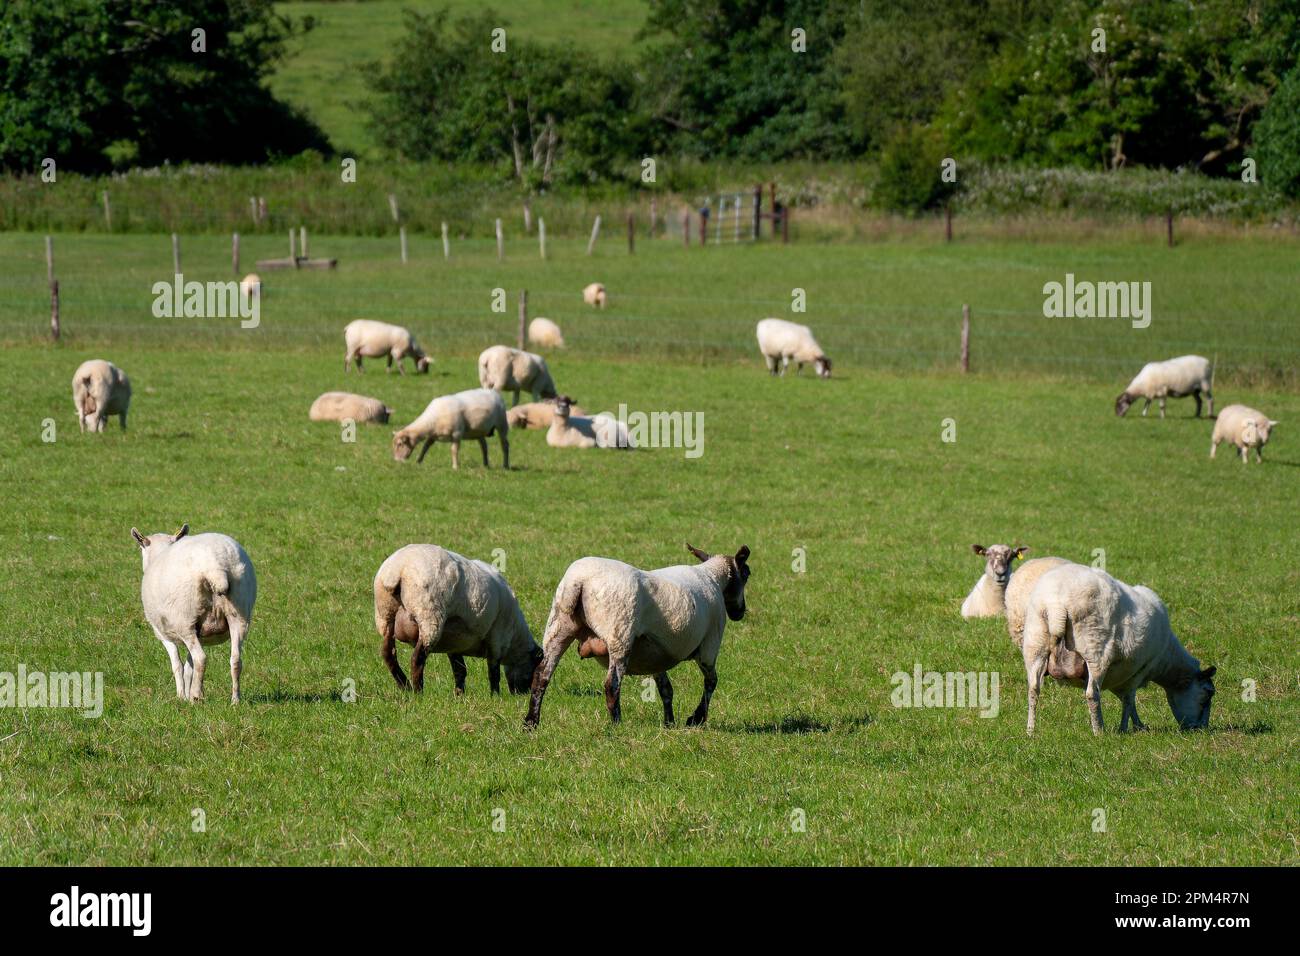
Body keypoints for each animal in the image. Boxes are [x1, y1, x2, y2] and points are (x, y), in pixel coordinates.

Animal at [130, 524, 256, 704]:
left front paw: (182, 696)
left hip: (185, 621)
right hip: (239, 614)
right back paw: (235, 700)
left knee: (201, 658)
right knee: (236, 660)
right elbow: (189, 667)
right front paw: (190, 693)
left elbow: (177, 665)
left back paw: (196, 697)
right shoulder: (200, 634)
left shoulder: (163, 634)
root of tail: (214, 565)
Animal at [374, 544, 542, 696]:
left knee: (388, 654)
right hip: (429, 616)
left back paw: (405, 687)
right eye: (534, 670)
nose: (522, 694)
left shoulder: (454, 642)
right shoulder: (496, 638)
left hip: (385, 615)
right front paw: (495, 696)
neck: (515, 639)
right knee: (417, 659)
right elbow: (493, 671)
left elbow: (460, 670)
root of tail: (397, 569)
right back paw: (418, 692)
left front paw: (459, 694)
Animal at [524, 542, 751, 729]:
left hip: (558, 627)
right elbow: (711, 681)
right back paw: (617, 725)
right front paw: (696, 718)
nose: (740, 613)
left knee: (541, 675)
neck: (712, 577)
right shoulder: (709, 645)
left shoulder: (657, 655)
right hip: (620, 634)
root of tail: (578, 581)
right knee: (612, 684)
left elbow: (666, 689)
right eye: (747, 574)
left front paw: (670, 723)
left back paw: (531, 723)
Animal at [1022, 564, 1215, 735]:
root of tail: (1056, 604)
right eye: (1208, 694)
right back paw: (1099, 731)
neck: (1166, 661)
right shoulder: (1139, 670)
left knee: (1033, 689)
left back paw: (1031, 731)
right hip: (1095, 649)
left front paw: (1138, 726)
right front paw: (1127, 728)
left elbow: (1126, 700)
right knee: (1092, 694)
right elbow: (1129, 700)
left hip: (1035, 644)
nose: (1201, 729)